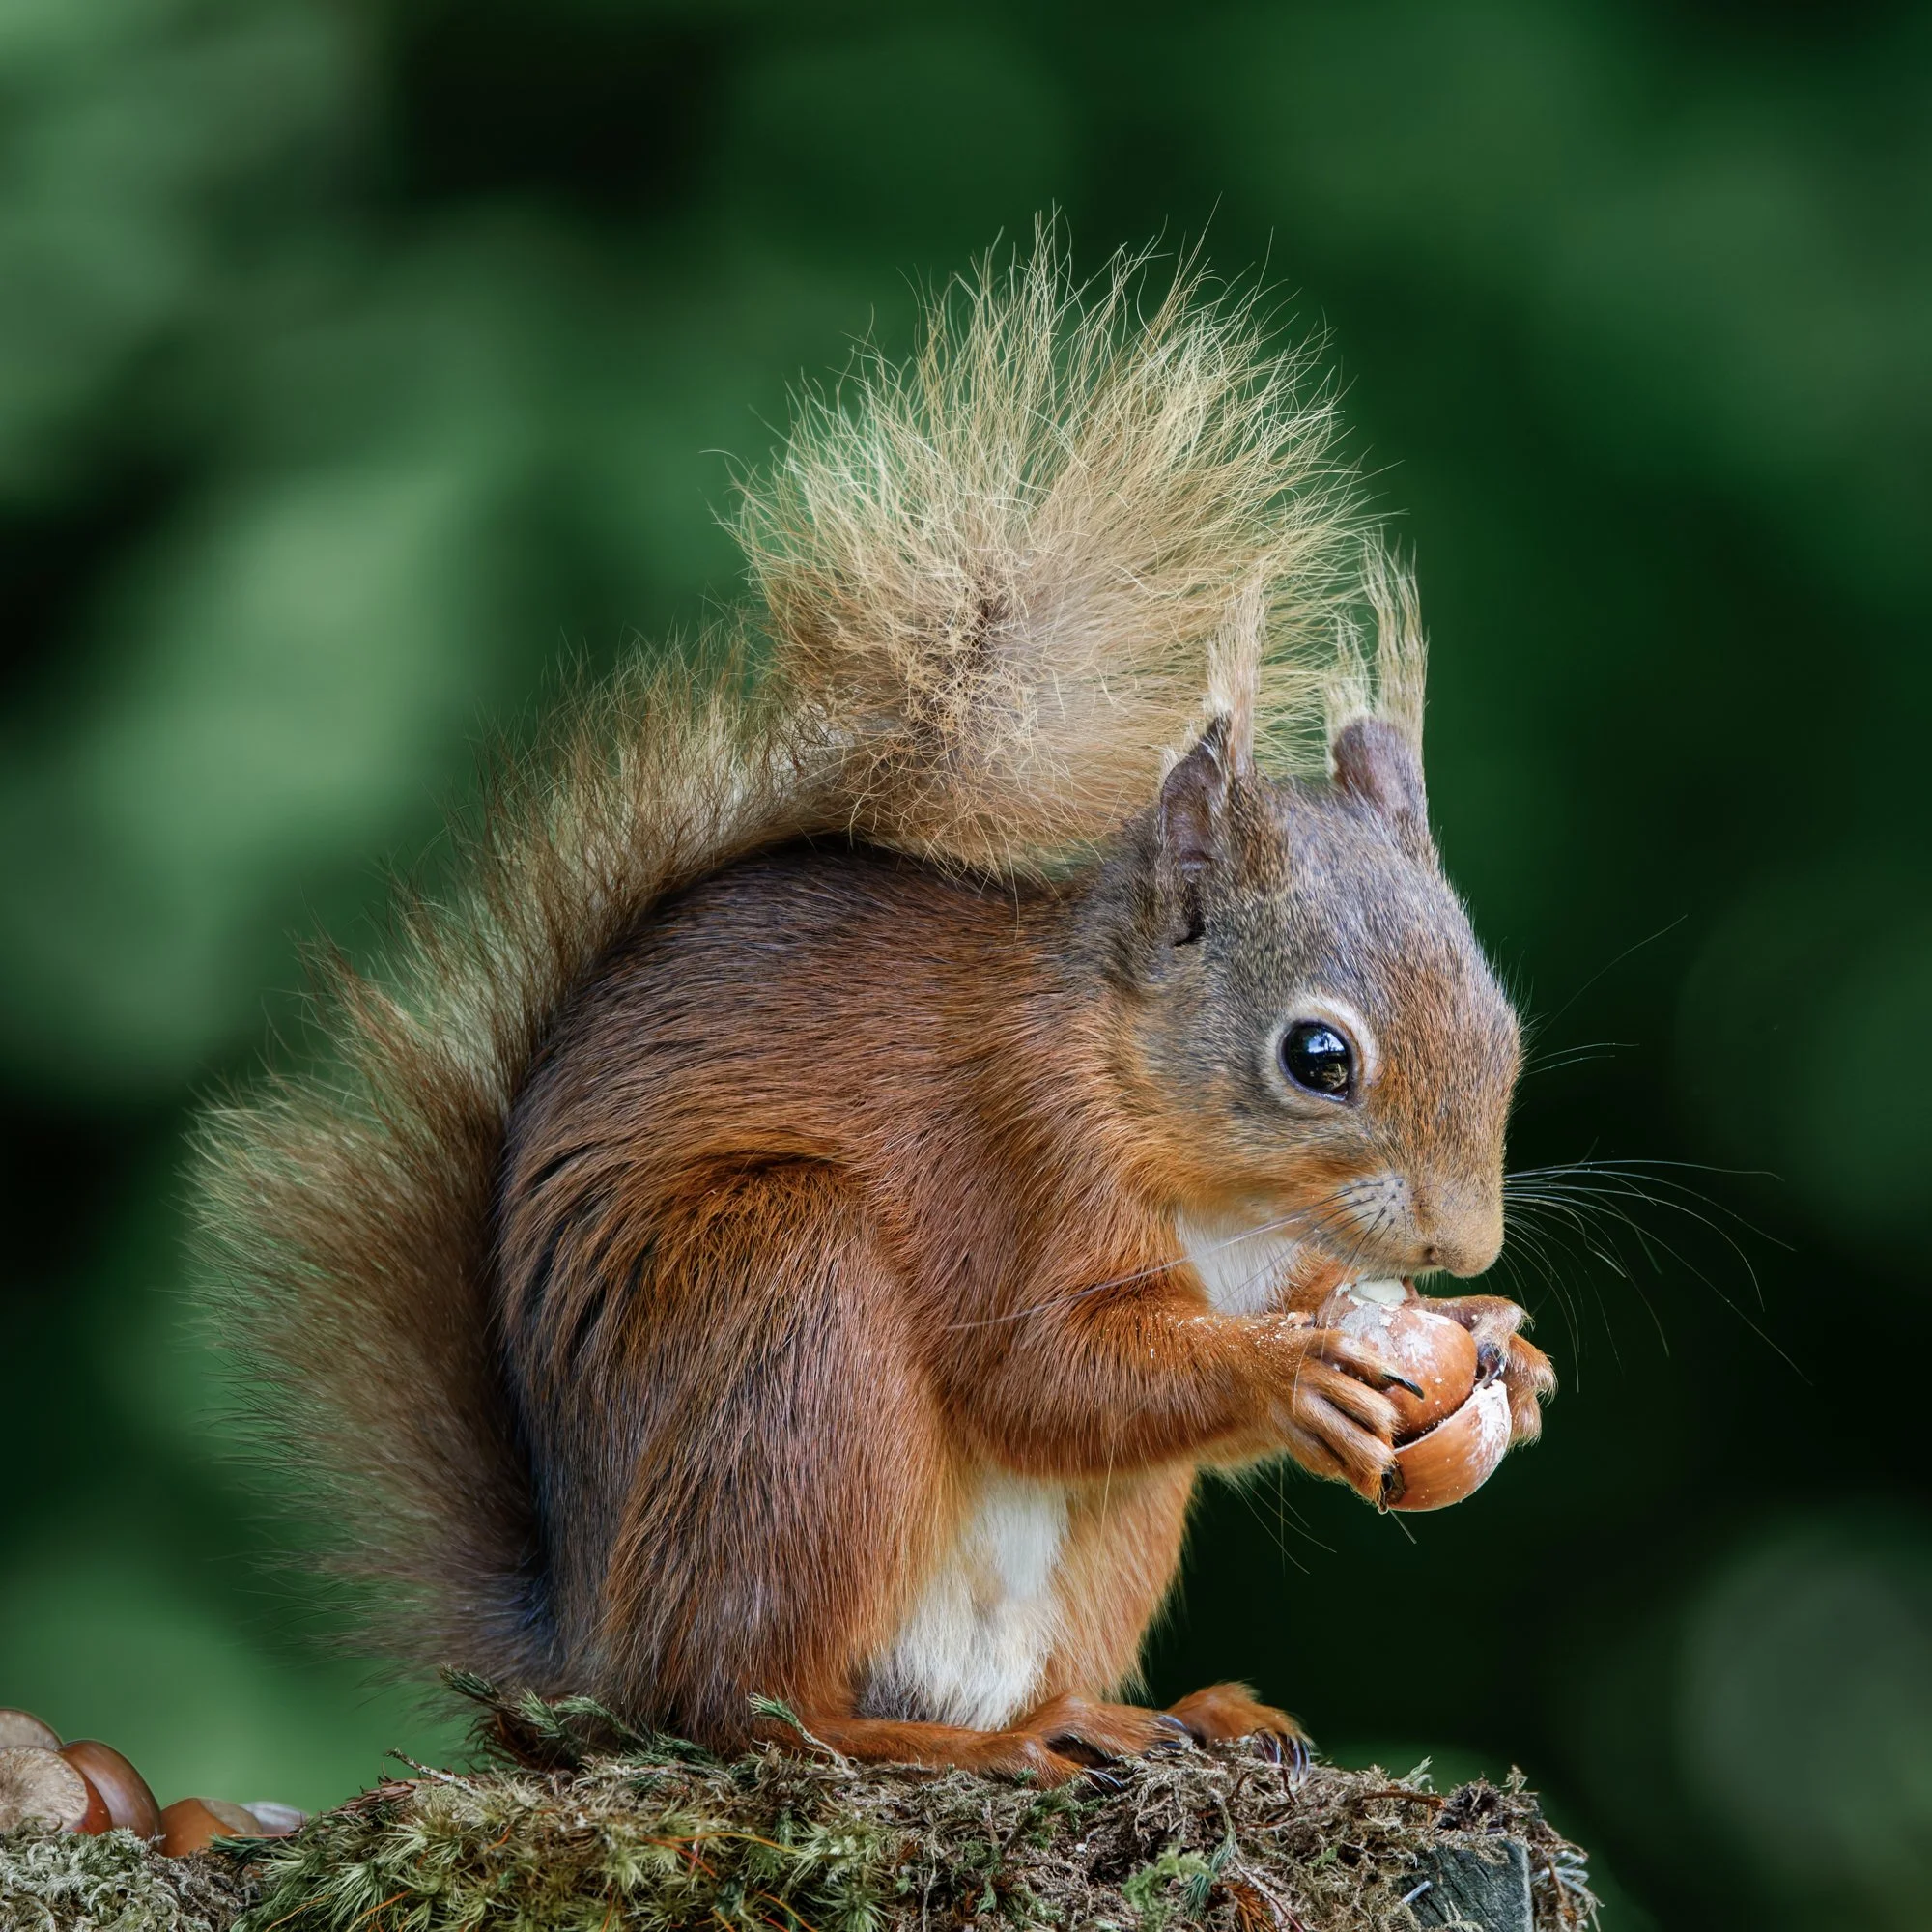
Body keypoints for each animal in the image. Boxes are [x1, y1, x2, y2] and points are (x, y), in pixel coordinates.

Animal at [198, 239, 1554, 1785]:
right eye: (1317, 1057)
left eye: (1505, 1029)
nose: (1465, 1240)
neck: (1203, 1170)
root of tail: (584, 1656)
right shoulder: (1002, 1147)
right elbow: (1038, 1370)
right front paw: (1300, 1369)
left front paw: (1504, 1342)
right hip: (790, 1324)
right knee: (741, 1706)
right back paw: (957, 1744)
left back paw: (1151, 1713)